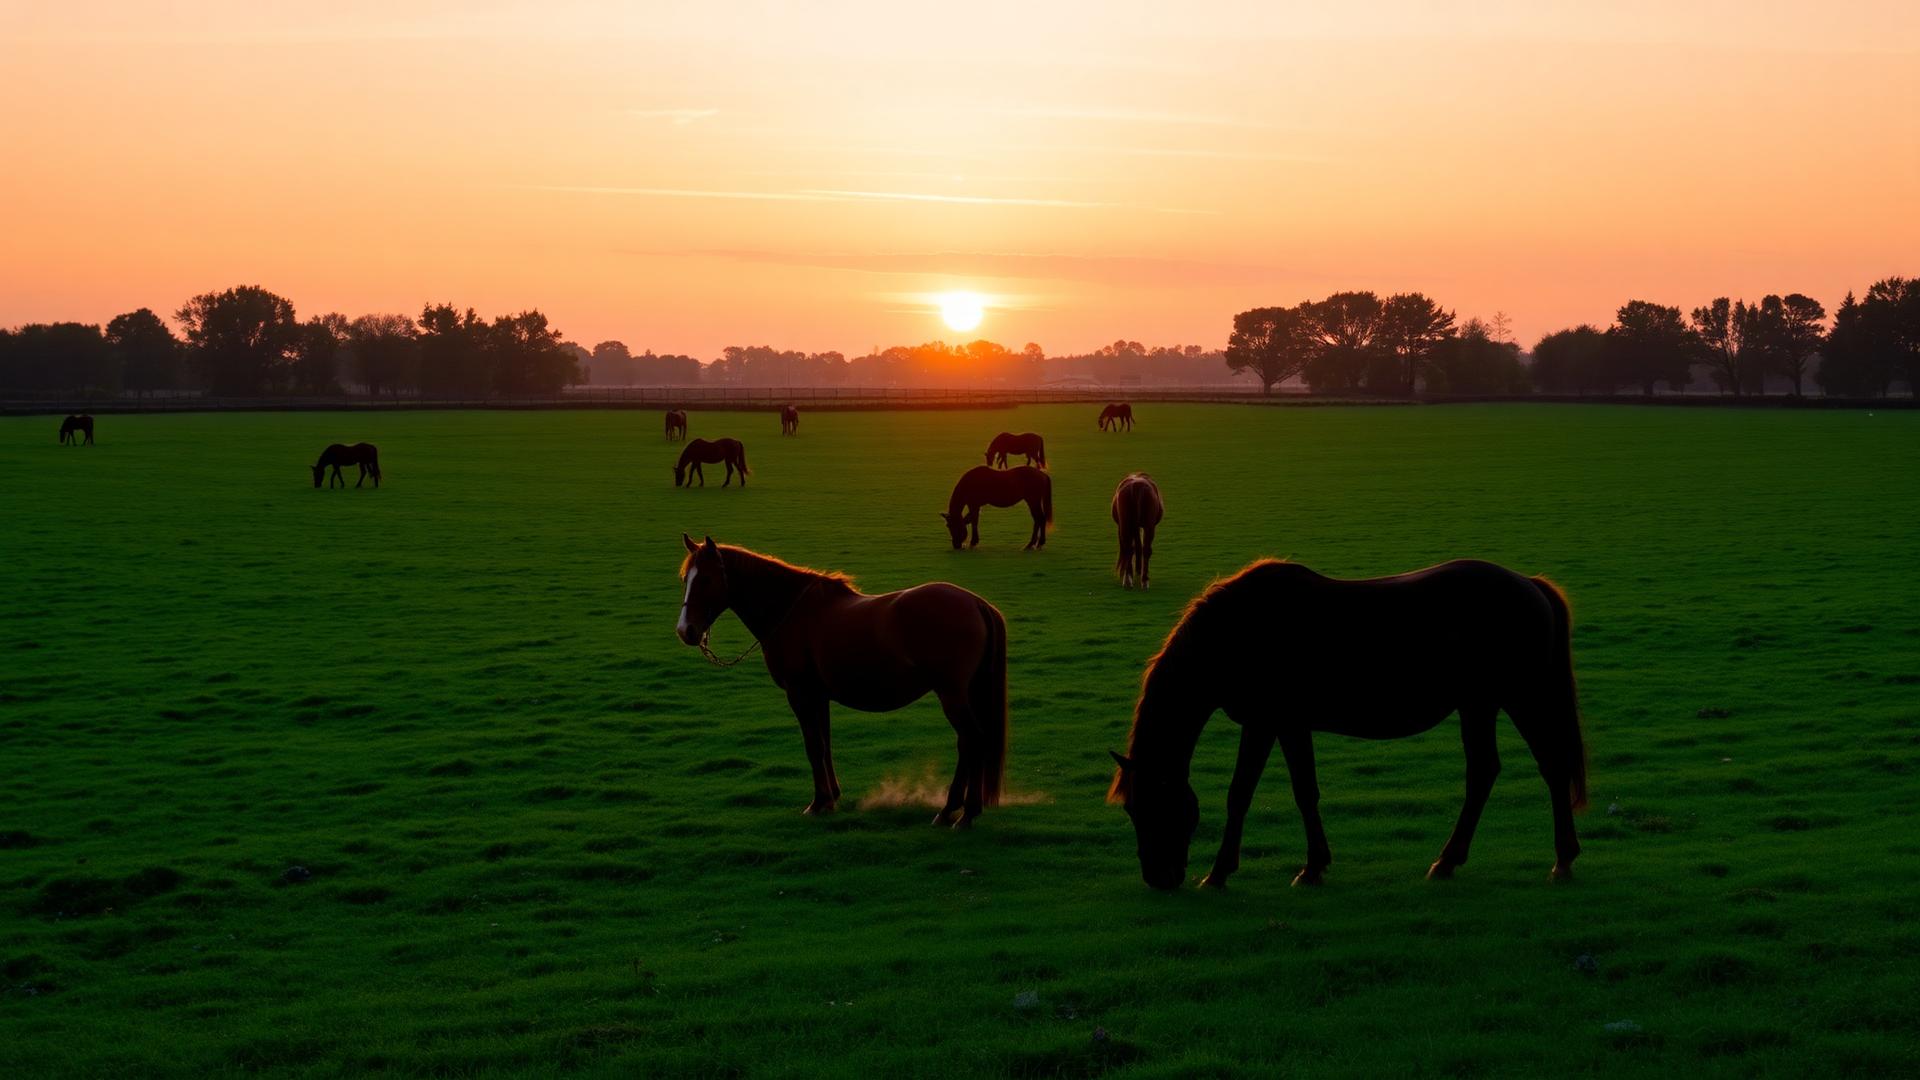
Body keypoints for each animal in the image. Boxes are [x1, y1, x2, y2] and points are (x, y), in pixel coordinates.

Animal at [675, 535, 1010, 826]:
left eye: (706, 580)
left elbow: (813, 746)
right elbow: (825, 744)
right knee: (968, 743)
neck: (792, 612)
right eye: (685, 580)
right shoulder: (819, 696)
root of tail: (975, 603)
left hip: (951, 693)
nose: (685, 631)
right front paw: (832, 797)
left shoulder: (800, 694)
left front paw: (818, 803)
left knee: (972, 740)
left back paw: (963, 813)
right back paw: (953, 810)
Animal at [1108, 558, 1587, 890]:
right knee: (1489, 772)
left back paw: (1559, 860)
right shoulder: (1290, 726)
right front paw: (1314, 866)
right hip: (1479, 706)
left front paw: (1221, 872)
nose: (1158, 878)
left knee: (1549, 767)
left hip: (1516, 699)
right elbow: (1304, 791)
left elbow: (1241, 794)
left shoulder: (1265, 724)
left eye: (1150, 806)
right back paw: (1452, 861)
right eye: (1132, 810)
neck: (1237, 632)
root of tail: (1530, 584)